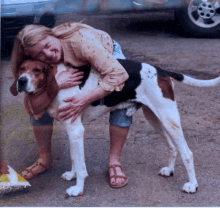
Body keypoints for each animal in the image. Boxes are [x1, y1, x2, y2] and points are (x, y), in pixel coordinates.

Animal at [10, 59, 220, 197]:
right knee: (172, 147)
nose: (21, 81)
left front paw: (78, 188)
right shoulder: (72, 130)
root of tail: (161, 70)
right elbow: (74, 157)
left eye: (37, 70)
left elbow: (81, 165)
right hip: (155, 119)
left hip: (169, 119)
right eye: (21, 69)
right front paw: (72, 174)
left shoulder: (76, 130)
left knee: (187, 153)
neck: (59, 80)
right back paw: (169, 169)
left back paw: (192, 185)